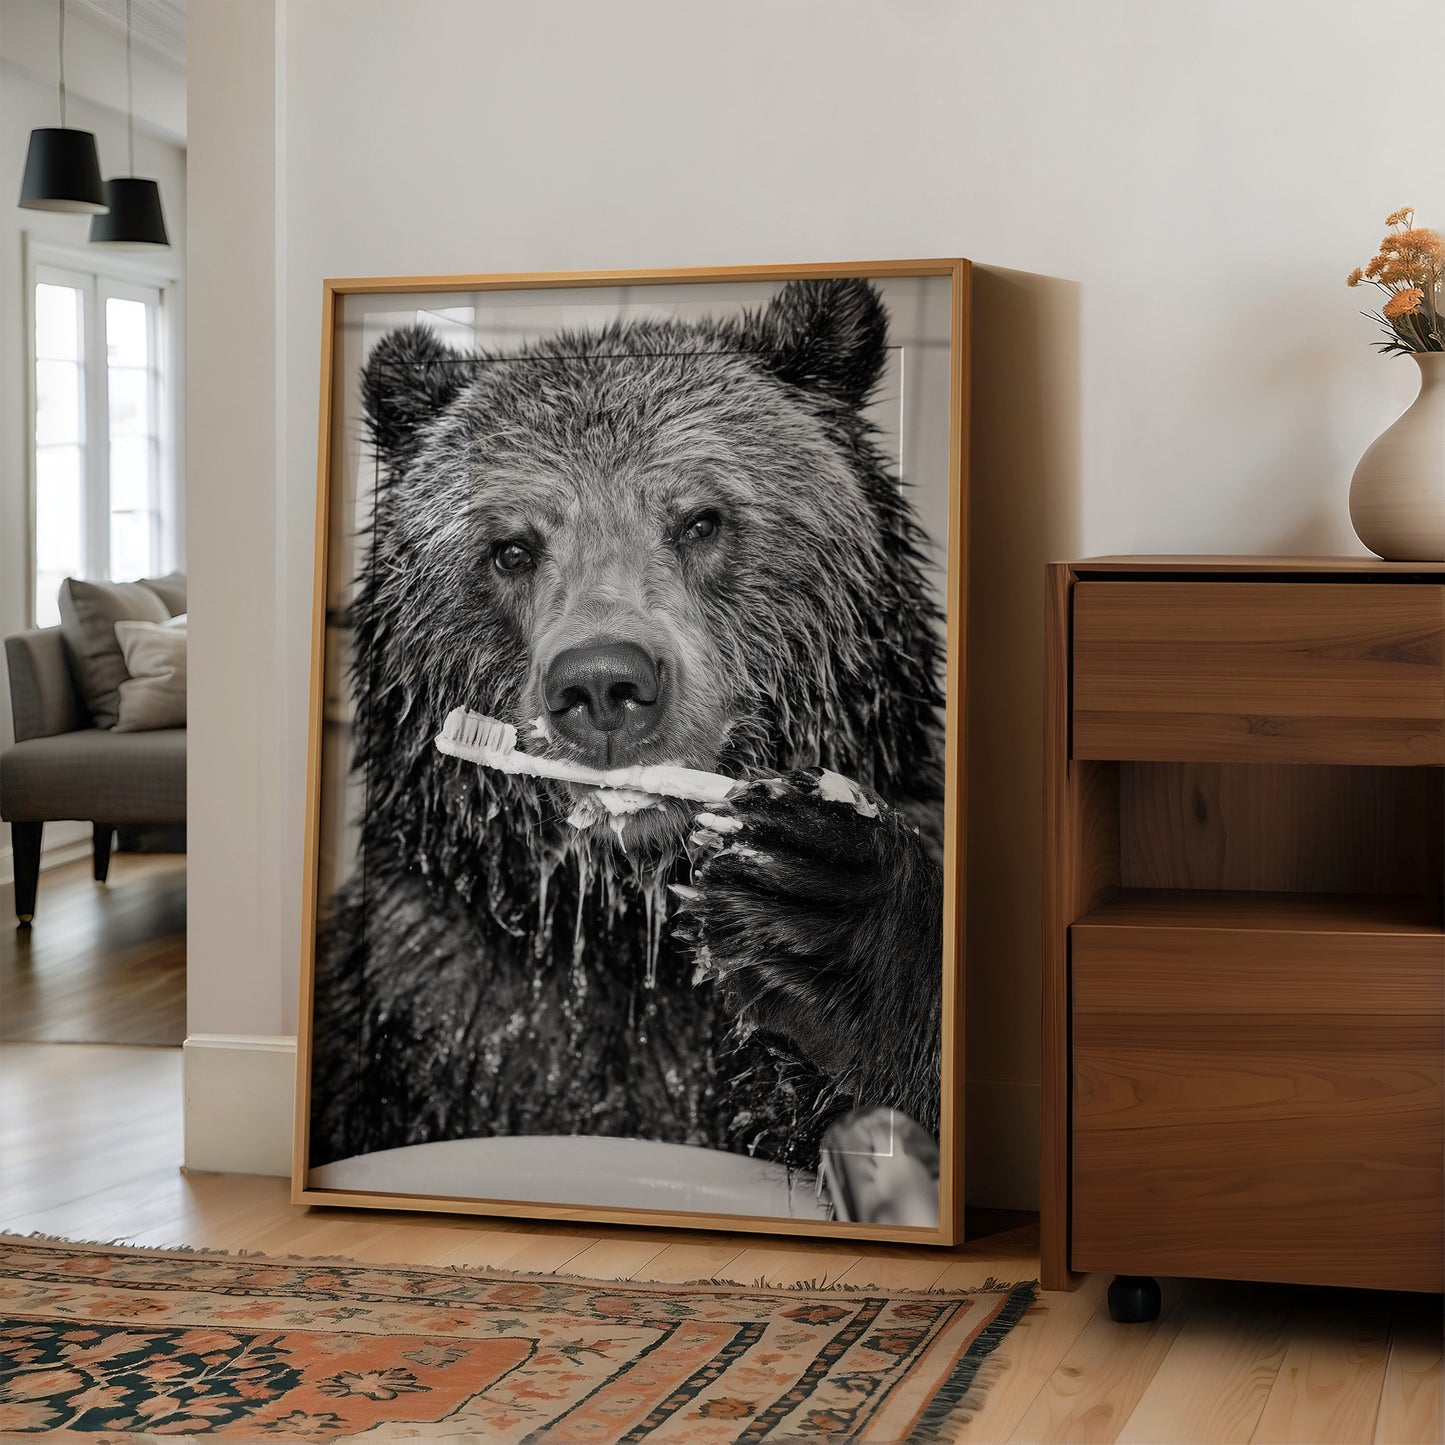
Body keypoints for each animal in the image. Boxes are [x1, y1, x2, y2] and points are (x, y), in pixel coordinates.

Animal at [308, 278, 948, 1206]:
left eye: (701, 519)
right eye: (510, 548)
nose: (603, 683)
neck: (624, 931)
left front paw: (815, 894)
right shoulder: (431, 1010)